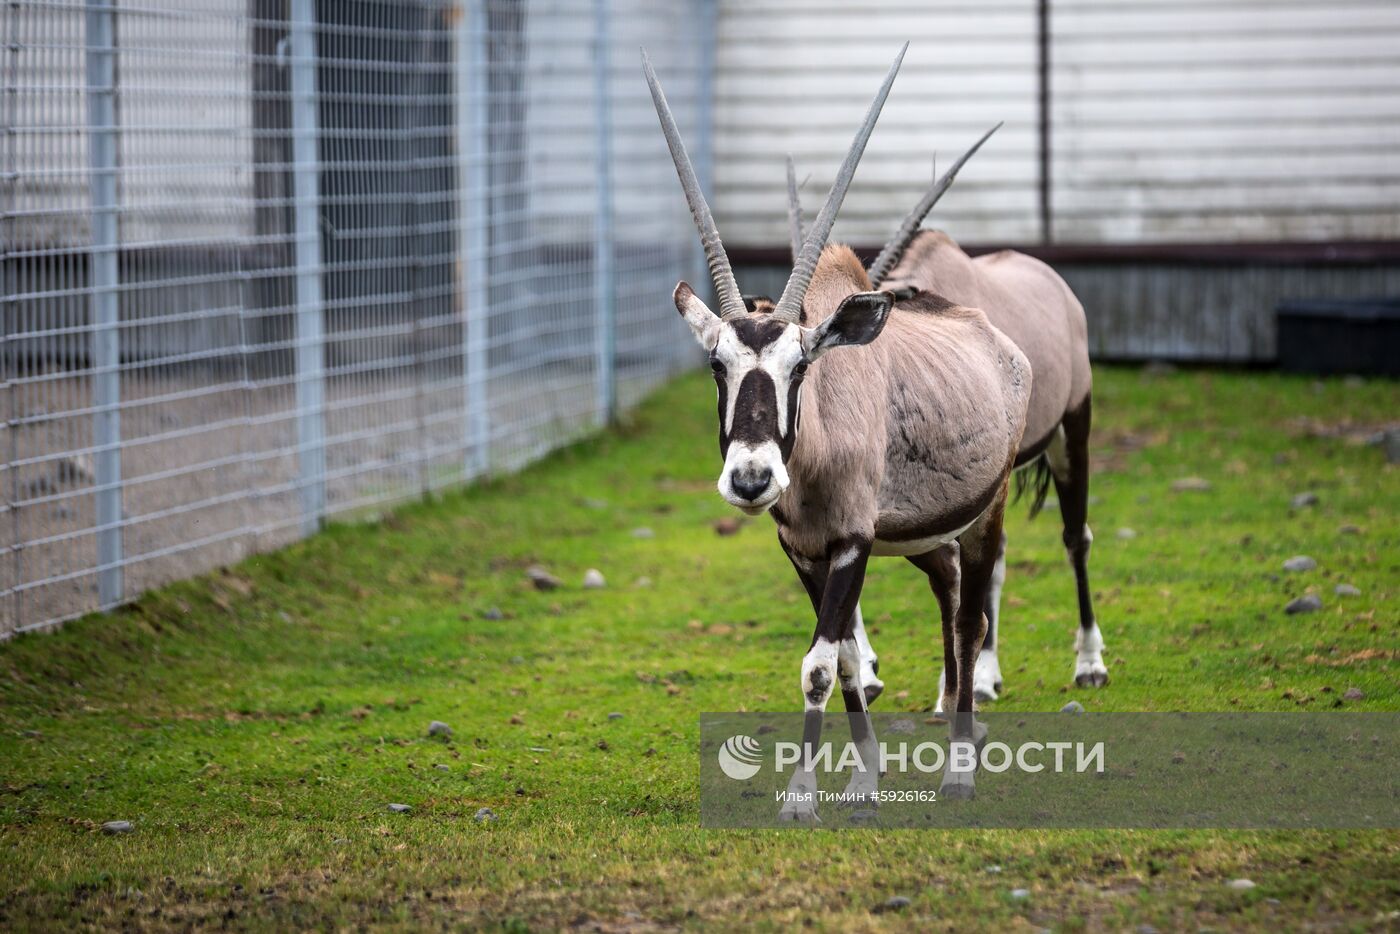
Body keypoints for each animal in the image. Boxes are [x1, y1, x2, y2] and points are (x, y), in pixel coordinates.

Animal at [644, 47, 1030, 812]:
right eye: (717, 364)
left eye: (801, 366)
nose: (752, 478)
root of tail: (997, 340)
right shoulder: (804, 551)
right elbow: (848, 660)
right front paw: (861, 778)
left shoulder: (851, 542)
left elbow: (819, 666)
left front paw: (800, 796)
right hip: (922, 536)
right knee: (948, 593)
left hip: (987, 513)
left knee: (971, 618)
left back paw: (960, 766)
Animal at [789, 129, 1103, 716]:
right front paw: (872, 672)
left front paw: (945, 689)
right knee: (997, 556)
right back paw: (987, 676)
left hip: (1071, 429)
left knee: (1075, 536)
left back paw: (1088, 664)